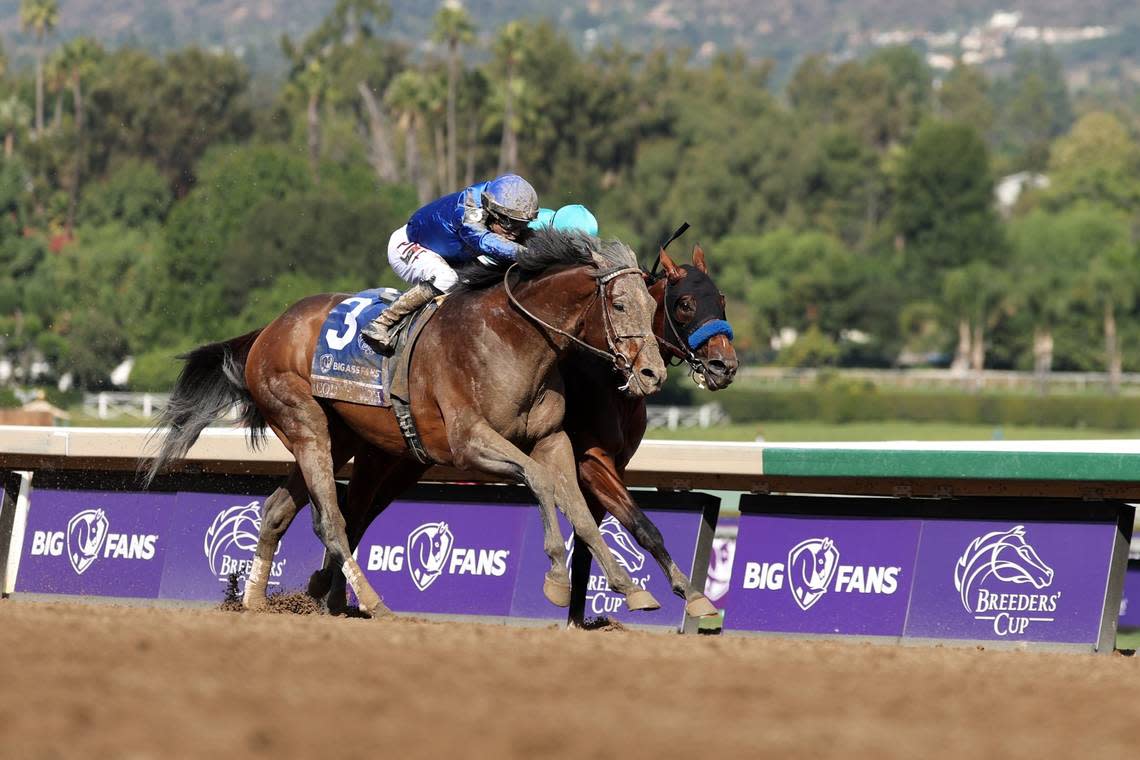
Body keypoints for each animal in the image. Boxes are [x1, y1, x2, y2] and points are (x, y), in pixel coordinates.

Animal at [150, 230, 665, 619]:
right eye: (621, 305)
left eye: (651, 304)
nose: (653, 373)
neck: (510, 338)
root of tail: (270, 329)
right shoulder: (470, 443)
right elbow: (540, 481)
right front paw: (557, 577)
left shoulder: (550, 438)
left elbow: (577, 505)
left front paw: (628, 585)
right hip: (304, 421)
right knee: (333, 521)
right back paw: (371, 602)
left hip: (337, 438)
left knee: (279, 510)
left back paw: (257, 601)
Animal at [312, 243, 738, 619]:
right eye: (685, 304)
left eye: (722, 299)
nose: (725, 366)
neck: (606, 377)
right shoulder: (592, 462)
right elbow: (640, 525)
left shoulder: (606, 464)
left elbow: (594, 531)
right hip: (379, 456)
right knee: (353, 512)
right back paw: (329, 591)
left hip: (402, 460)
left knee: (359, 512)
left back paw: (327, 589)